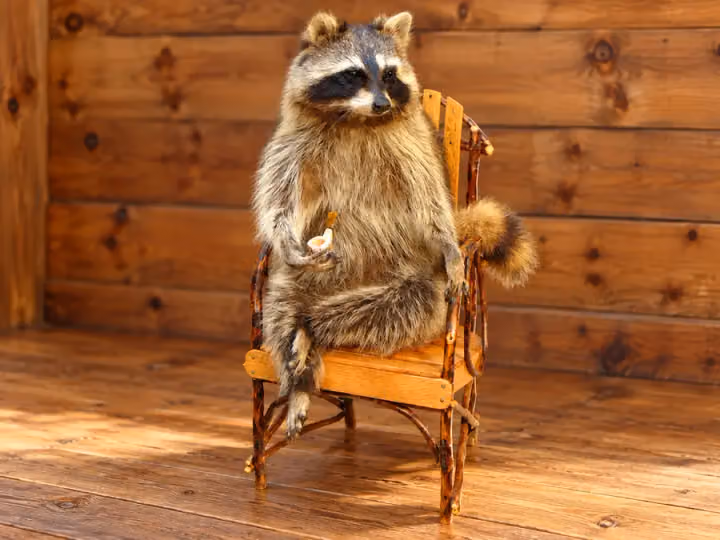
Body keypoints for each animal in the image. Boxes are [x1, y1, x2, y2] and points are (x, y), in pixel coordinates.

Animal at [253, 11, 537, 438]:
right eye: (353, 74)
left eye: (388, 75)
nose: (381, 103)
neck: (356, 118)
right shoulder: (295, 136)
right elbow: (279, 192)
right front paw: (285, 238)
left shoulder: (410, 139)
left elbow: (429, 195)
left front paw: (449, 245)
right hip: (310, 275)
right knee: (282, 303)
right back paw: (298, 373)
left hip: (413, 276)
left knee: (405, 303)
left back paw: (312, 327)